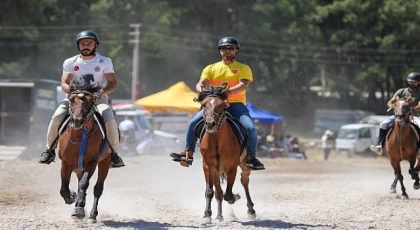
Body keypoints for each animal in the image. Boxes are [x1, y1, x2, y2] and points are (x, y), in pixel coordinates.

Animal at [59, 81, 112, 223]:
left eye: (90, 101)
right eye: (72, 100)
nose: (77, 120)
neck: (80, 135)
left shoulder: (92, 162)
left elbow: (84, 184)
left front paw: (79, 210)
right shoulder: (65, 163)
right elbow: (64, 188)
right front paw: (71, 197)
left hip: (105, 162)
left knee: (97, 188)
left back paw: (92, 214)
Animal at [196, 83, 256, 224]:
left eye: (221, 105)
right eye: (204, 104)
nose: (210, 124)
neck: (217, 139)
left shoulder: (232, 168)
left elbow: (228, 194)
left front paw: (236, 196)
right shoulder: (208, 166)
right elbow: (210, 191)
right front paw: (207, 215)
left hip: (244, 165)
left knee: (244, 181)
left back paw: (250, 210)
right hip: (216, 171)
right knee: (218, 192)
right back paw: (219, 216)